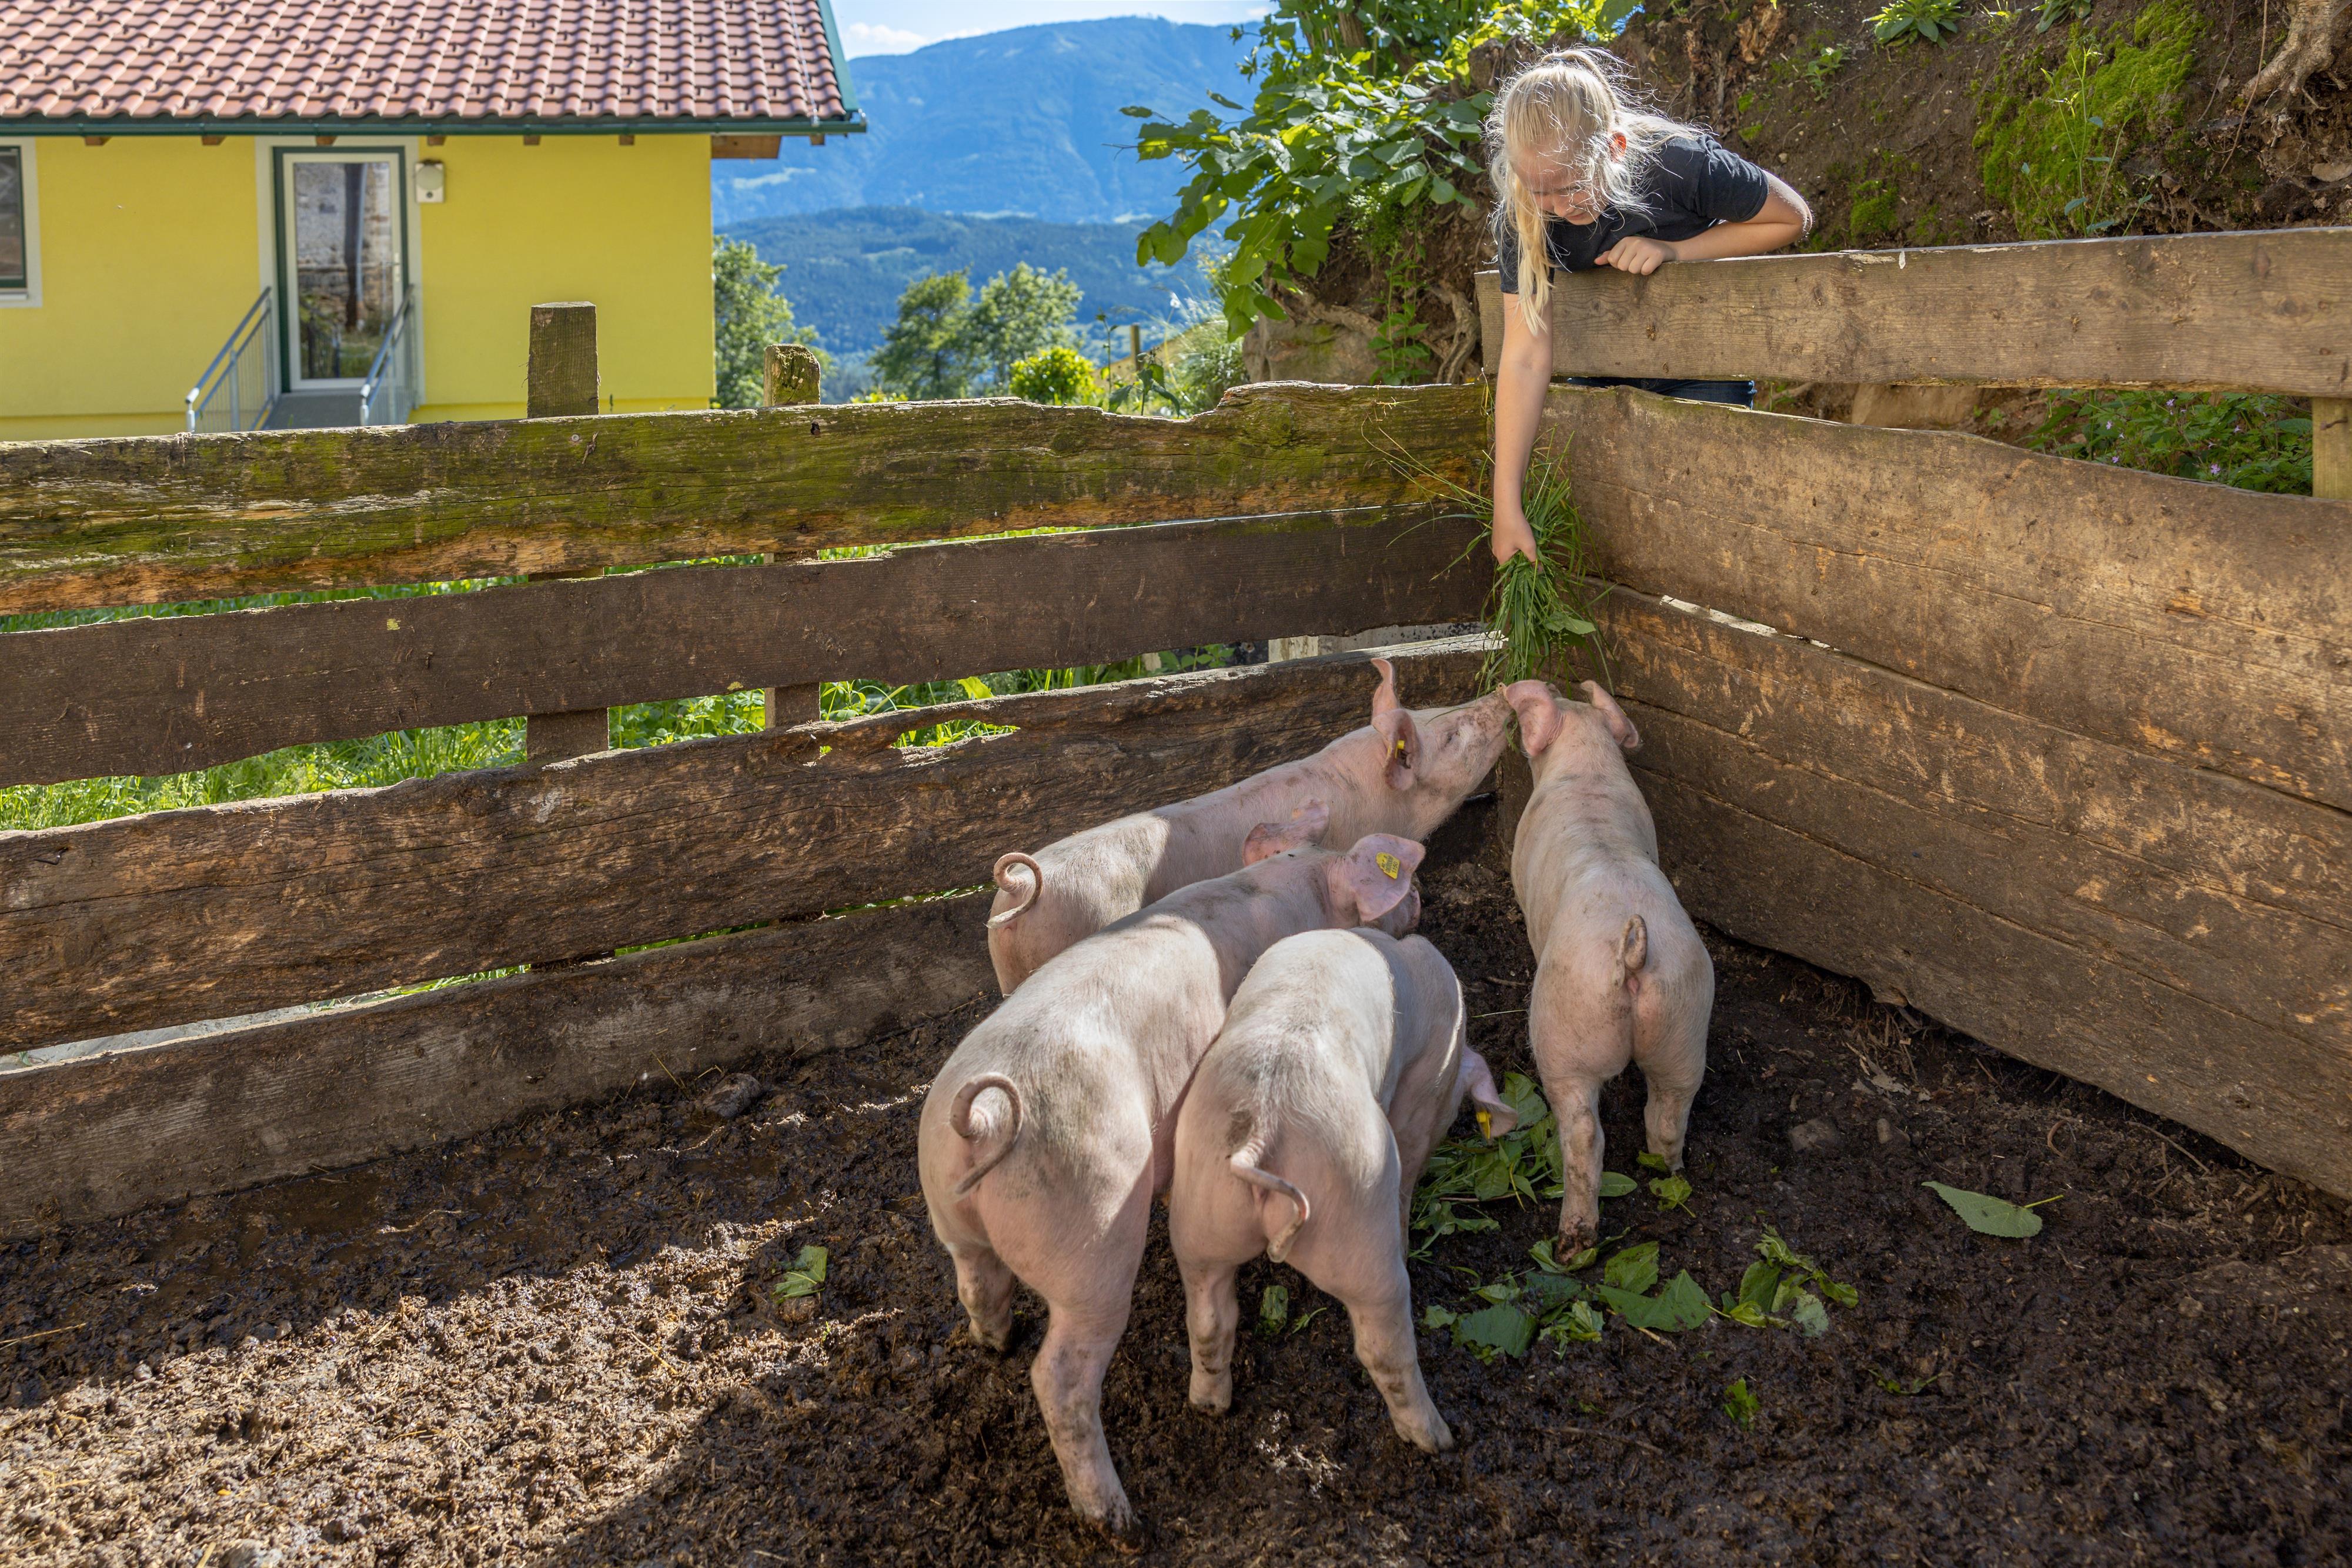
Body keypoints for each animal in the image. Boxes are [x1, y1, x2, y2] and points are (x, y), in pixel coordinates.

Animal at [919, 820, 1428, 1543]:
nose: (1420, 902)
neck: (1293, 889)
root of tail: (986, 1119)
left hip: (951, 1212)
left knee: (976, 1284)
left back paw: (997, 1343)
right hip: (1091, 1236)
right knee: (1061, 1377)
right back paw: (1119, 1520)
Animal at [1167, 928, 1520, 1453]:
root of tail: (1263, 1128)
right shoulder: (1425, 1085)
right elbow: (1413, 1149)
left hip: (1200, 1213)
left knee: (1209, 1317)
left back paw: (1209, 1405)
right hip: (1357, 1217)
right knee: (1383, 1343)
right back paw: (1438, 1438)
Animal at [1504, 679, 1714, 1252]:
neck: (1589, 770)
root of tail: (1634, 957)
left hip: (1565, 1034)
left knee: (1582, 1135)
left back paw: (1572, 1240)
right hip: (1684, 1023)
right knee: (1668, 1113)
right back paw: (1667, 1176)